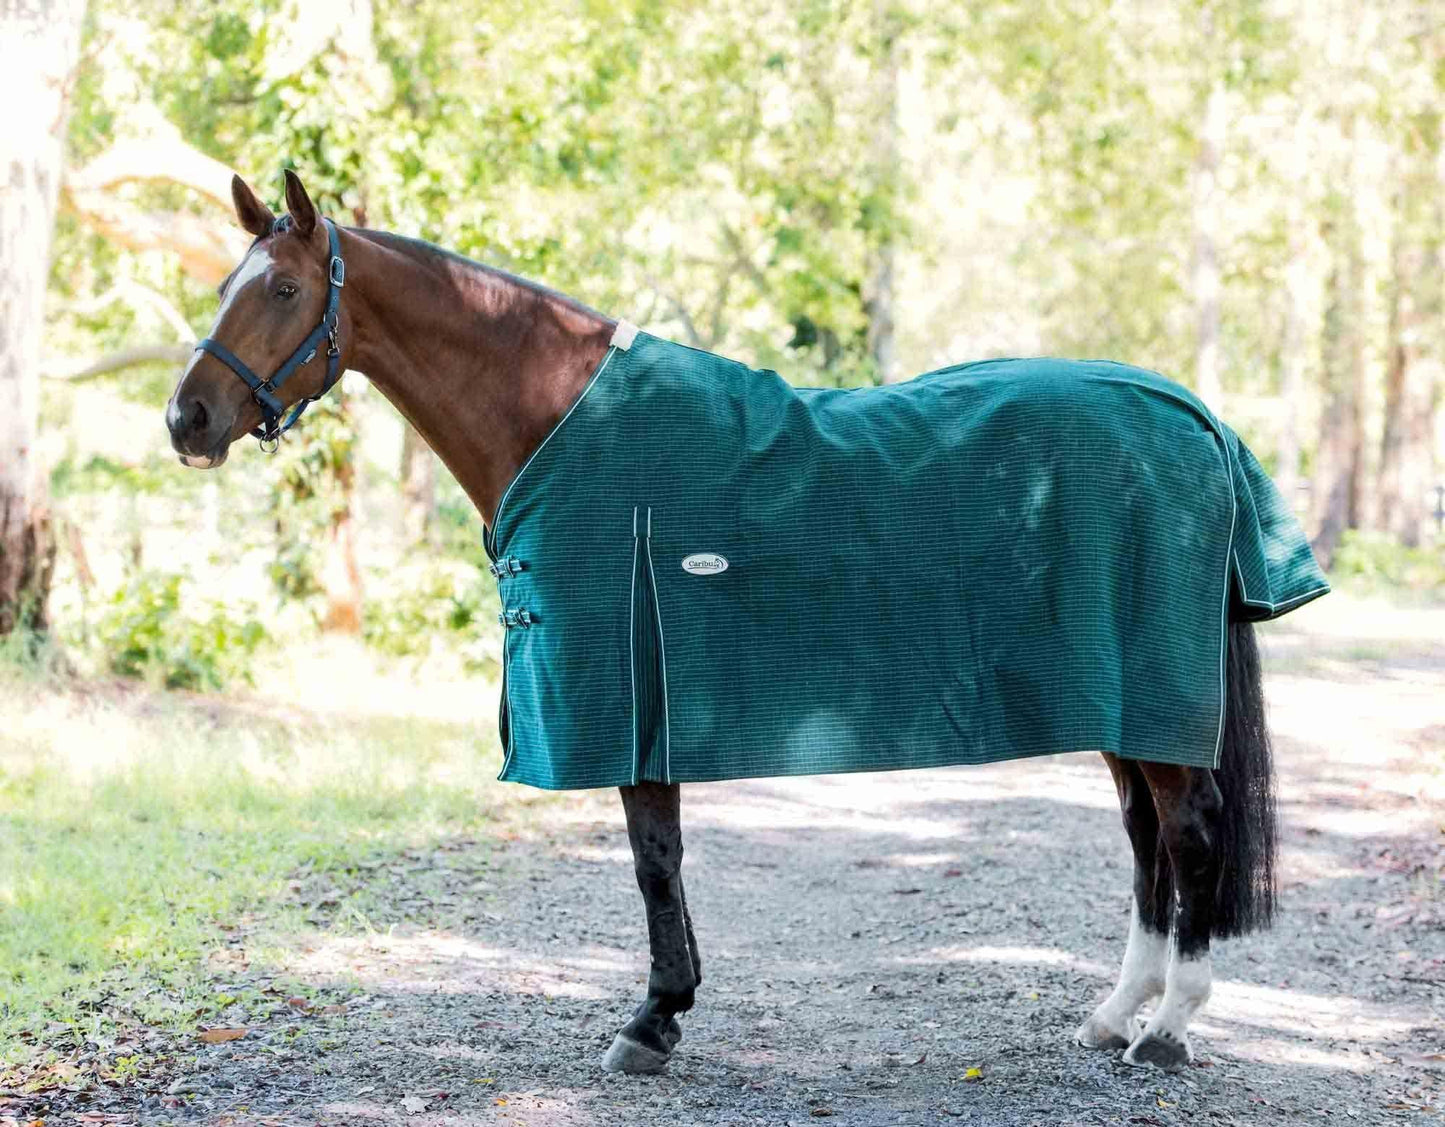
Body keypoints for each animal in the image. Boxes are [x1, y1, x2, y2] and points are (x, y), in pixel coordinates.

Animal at [166, 170, 1321, 1076]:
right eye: (224, 287)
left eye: (281, 288)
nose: (187, 418)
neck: (564, 421)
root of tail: (1186, 415)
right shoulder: (646, 703)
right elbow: (660, 851)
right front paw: (665, 1010)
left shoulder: (628, 688)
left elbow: (652, 856)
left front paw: (651, 1018)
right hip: (1125, 701)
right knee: (1147, 842)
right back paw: (1115, 1014)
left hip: (1155, 697)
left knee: (1188, 830)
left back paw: (1167, 1032)